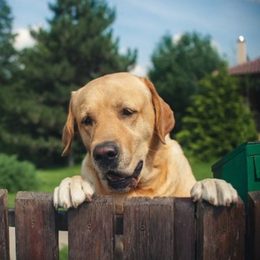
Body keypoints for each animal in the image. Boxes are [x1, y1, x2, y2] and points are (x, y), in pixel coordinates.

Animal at [53, 71, 239, 209]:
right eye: (86, 120)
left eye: (127, 111)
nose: (104, 153)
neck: (143, 187)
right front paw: (72, 183)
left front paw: (213, 184)